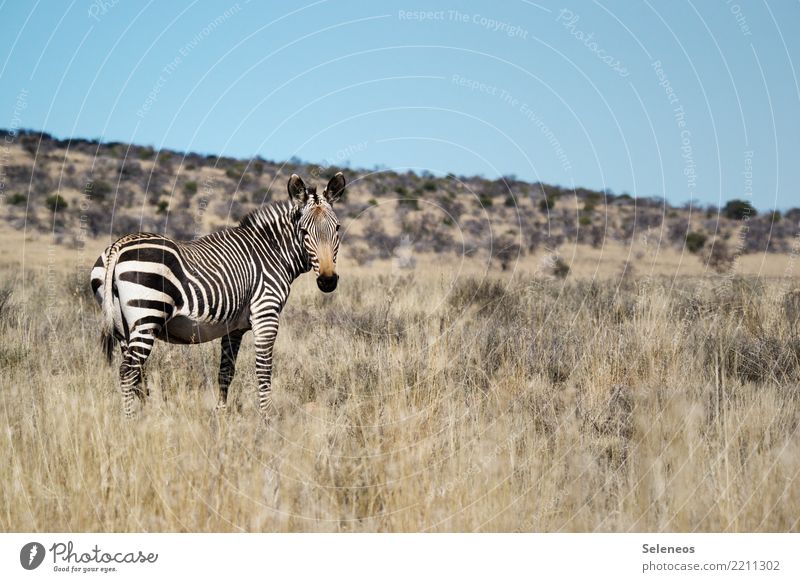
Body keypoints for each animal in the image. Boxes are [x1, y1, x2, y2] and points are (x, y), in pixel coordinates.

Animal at [91, 173, 346, 420]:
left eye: (337, 229)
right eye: (303, 232)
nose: (328, 281)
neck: (272, 252)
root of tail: (118, 246)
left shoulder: (234, 327)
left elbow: (225, 372)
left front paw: (221, 417)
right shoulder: (266, 314)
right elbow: (264, 370)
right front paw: (266, 420)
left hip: (123, 326)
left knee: (137, 372)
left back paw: (147, 415)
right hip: (147, 315)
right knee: (128, 371)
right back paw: (131, 422)